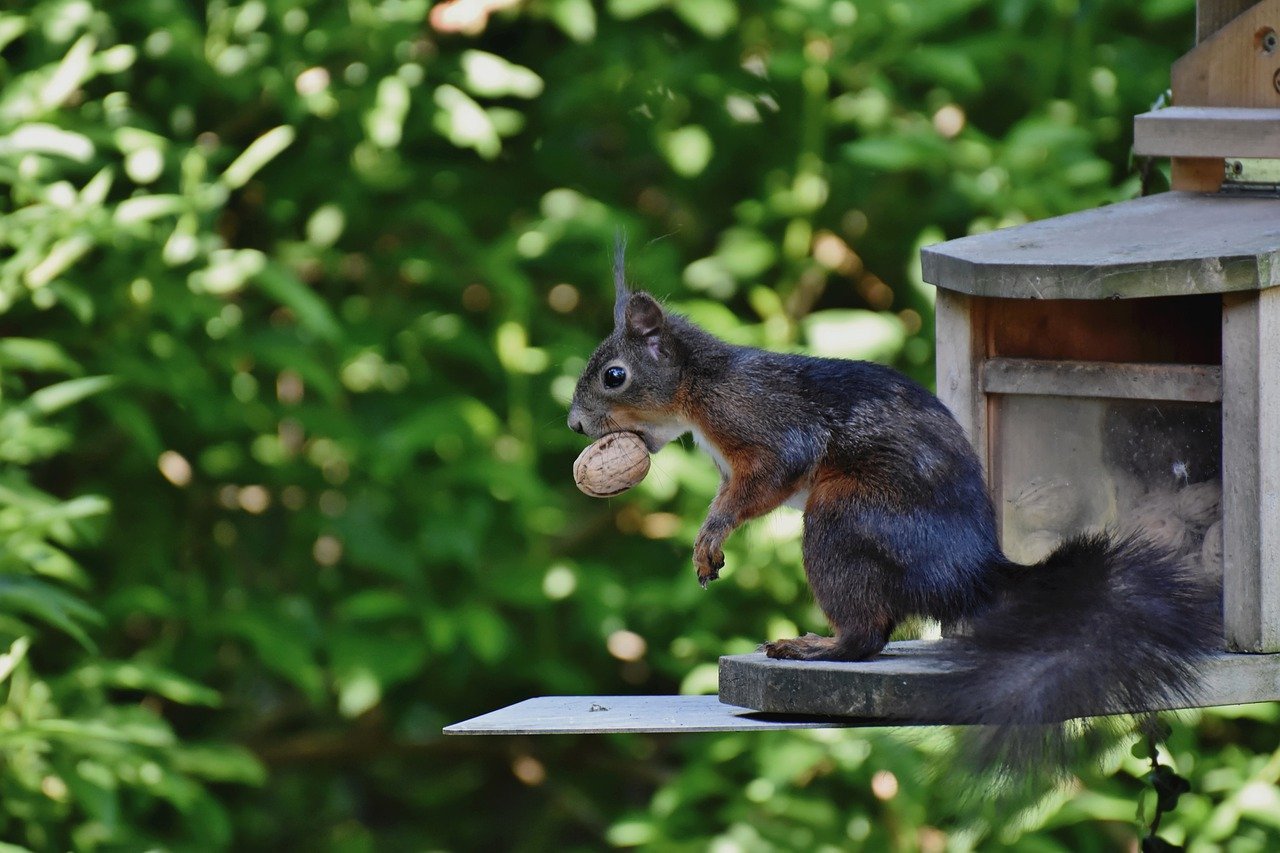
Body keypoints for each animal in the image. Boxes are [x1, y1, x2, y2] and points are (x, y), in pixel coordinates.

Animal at [568, 245, 1222, 771]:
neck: (700, 389)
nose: (574, 425)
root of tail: (971, 571)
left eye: (614, 376)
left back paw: (818, 647)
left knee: (867, 636)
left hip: (843, 517)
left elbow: (767, 479)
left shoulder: (764, 424)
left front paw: (711, 535)